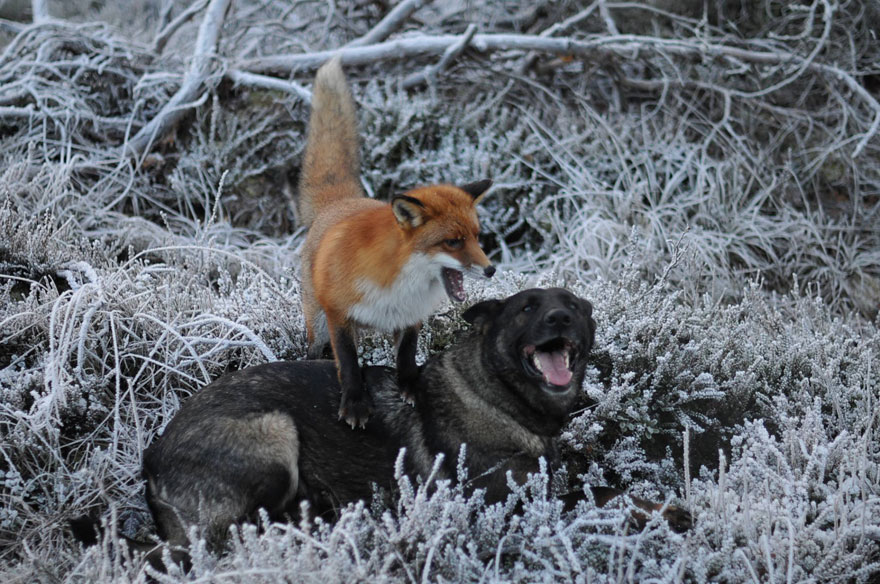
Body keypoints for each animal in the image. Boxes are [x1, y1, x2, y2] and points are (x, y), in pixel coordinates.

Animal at [298, 57, 495, 428]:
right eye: (453, 242)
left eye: (477, 237)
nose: (491, 270)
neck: (397, 280)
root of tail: (340, 203)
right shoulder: (339, 315)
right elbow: (348, 364)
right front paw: (355, 403)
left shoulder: (410, 317)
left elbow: (406, 357)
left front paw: (412, 388)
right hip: (316, 322)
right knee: (316, 350)